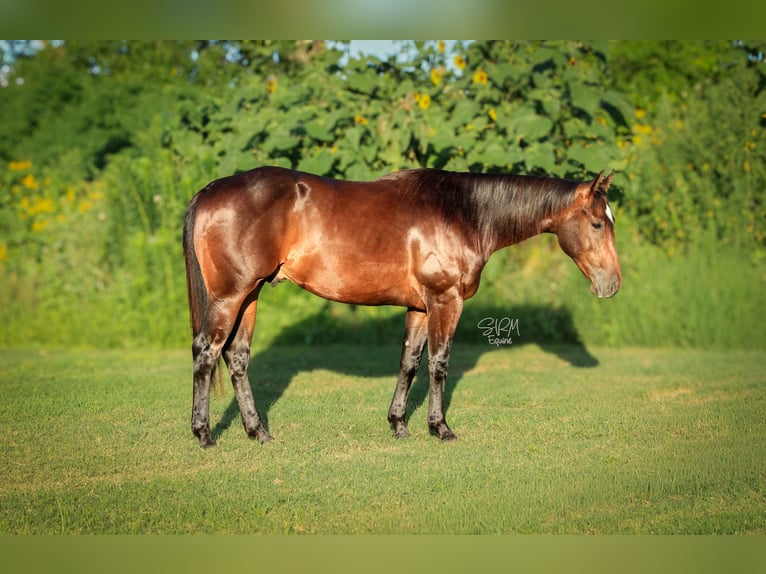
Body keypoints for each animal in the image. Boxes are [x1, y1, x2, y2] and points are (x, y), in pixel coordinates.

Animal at [183, 166, 621, 447]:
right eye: (598, 223)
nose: (612, 285)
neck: (462, 213)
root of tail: (209, 191)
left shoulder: (420, 308)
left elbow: (409, 363)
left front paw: (398, 425)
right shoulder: (445, 299)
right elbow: (439, 364)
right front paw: (440, 428)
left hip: (250, 295)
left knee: (237, 358)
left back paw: (258, 432)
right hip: (230, 296)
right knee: (206, 353)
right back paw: (204, 434)